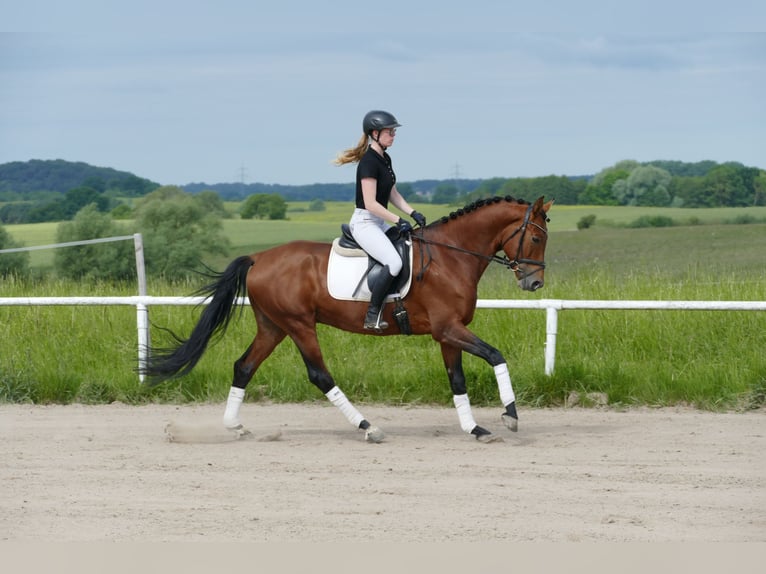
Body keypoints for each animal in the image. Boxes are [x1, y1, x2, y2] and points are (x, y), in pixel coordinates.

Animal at [142, 195, 553, 443]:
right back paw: (368, 427)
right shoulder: (448, 328)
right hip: (299, 325)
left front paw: (475, 428)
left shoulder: (446, 333)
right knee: (319, 375)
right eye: (535, 238)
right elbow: (496, 355)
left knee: (244, 366)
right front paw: (510, 416)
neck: (451, 256)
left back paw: (236, 426)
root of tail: (259, 258)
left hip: (273, 326)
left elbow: (457, 380)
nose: (534, 283)